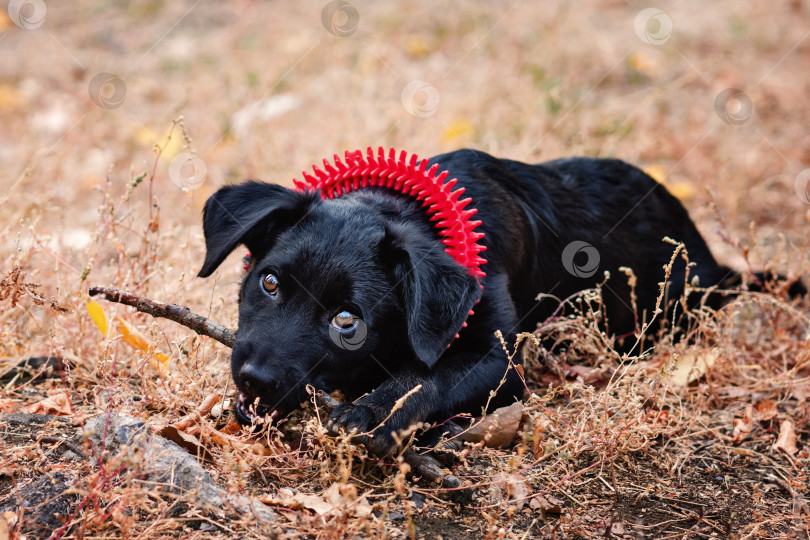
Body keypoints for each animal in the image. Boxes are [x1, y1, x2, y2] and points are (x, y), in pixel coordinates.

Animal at [196, 148, 788, 456]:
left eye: (348, 321)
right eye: (270, 283)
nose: (253, 379)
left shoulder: (498, 358)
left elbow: (426, 376)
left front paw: (373, 410)